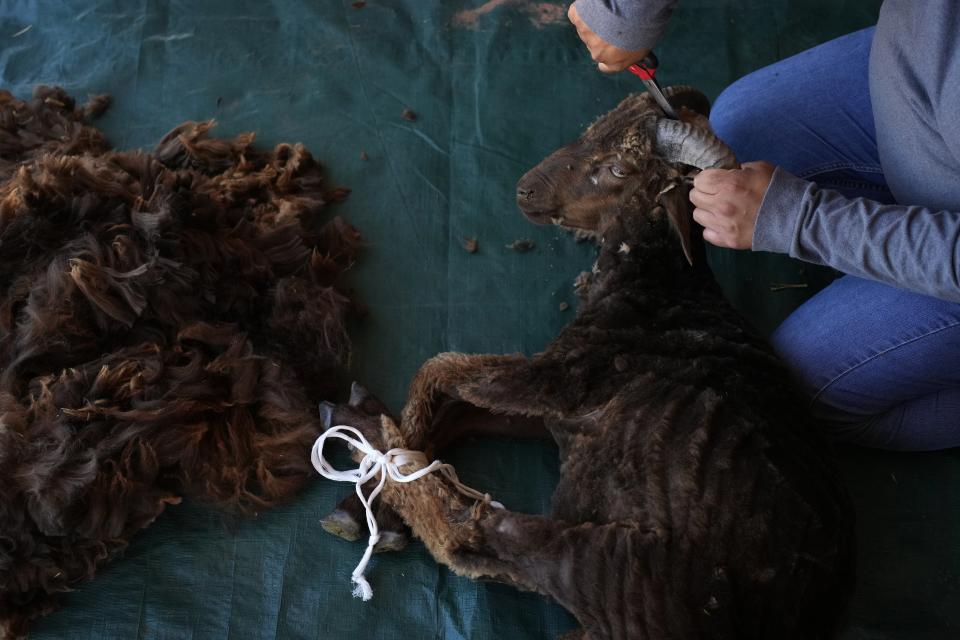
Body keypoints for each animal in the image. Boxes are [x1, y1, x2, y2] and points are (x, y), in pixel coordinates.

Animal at [320, 86, 856, 640]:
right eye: (594, 128)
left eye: (620, 169)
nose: (525, 190)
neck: (659, 283)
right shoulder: (564, 417)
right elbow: (458, 415)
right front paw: (368, 499)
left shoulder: (561, 379)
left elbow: (440, 370)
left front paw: (384, 463)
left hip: (613, 565)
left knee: (471, 536)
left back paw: (372, 440)